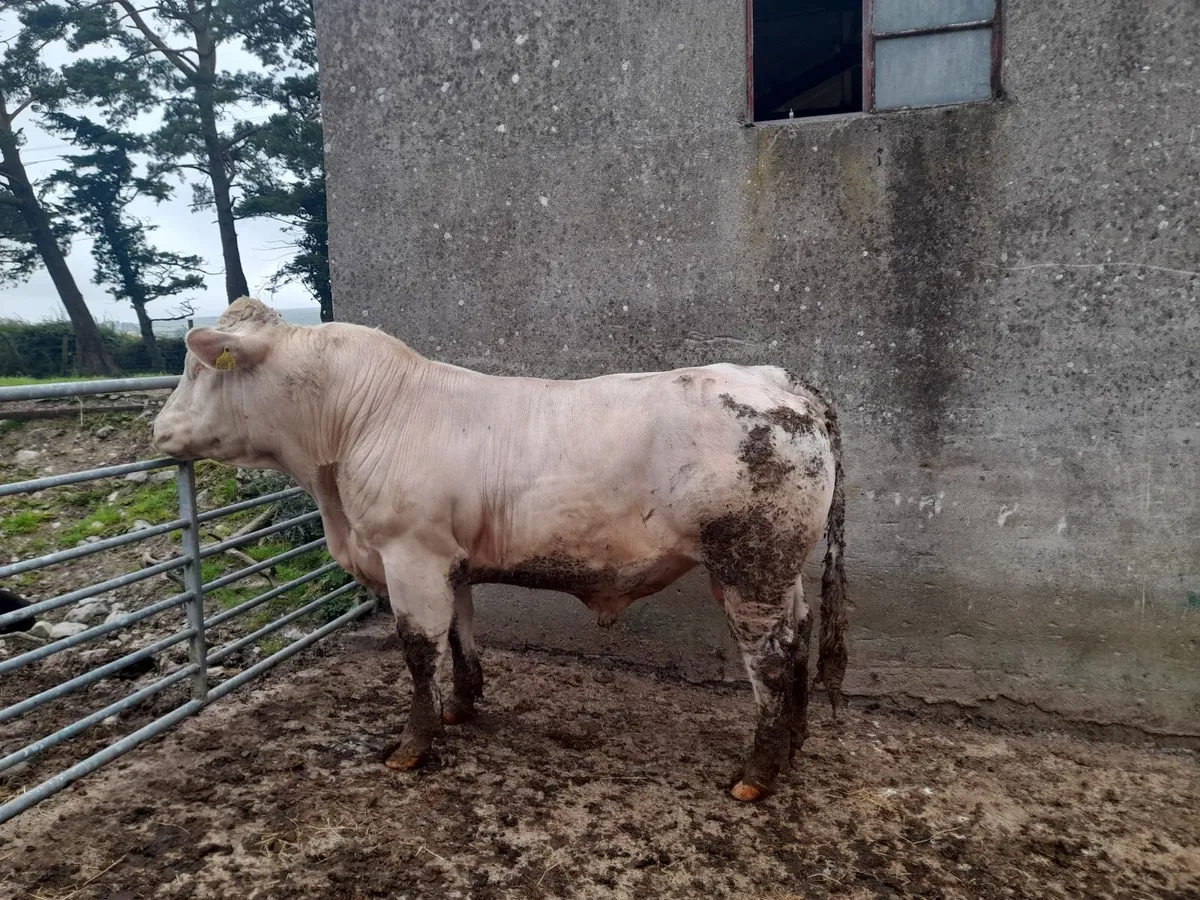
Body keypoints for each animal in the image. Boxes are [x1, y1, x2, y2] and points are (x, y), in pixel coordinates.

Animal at [151, 297, 848, 802]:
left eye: (197, 366)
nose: (157, 430)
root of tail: (776, 379)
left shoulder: (409, 556)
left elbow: (418, 651)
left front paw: (412, 746)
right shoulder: (446, 560)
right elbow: (461, 637)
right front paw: (460, 708)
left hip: (749, 566)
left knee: (773, 661)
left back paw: (756, 775)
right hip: (780, 572)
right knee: (800, 638)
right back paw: (795, 745)